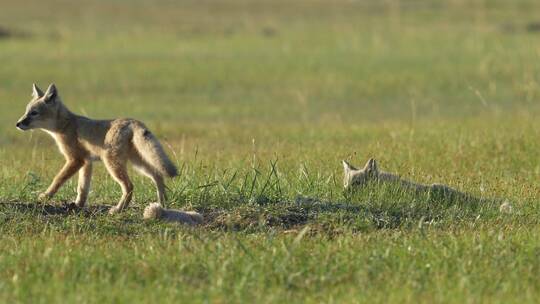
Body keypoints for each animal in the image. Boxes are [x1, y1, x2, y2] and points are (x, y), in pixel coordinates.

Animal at [16, 83, 198, 218]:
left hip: (112, 163)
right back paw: (162, 204)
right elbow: (83, 188)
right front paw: (78, 204)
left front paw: (46, 196)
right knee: (157, 175)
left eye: (33, 113)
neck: (67, 125)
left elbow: (58, 179)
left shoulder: (75, 159)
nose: (18, 124)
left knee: (129, 186)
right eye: (26, 112)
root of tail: (132, 121)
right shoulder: (86, 162)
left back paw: (118, 210)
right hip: (137, 163)